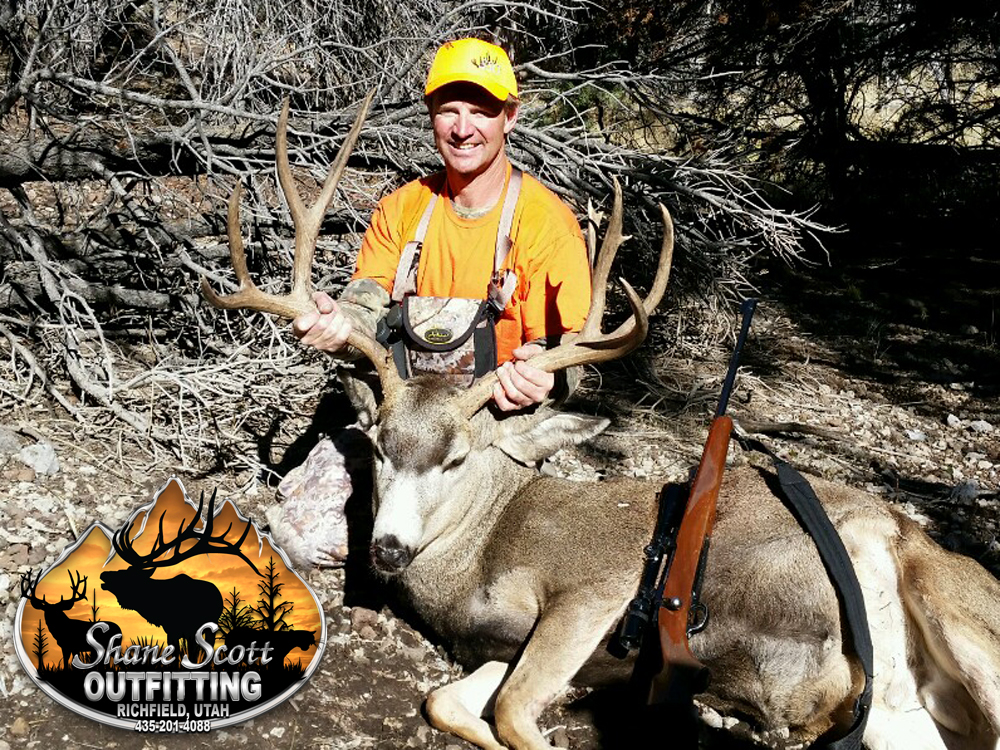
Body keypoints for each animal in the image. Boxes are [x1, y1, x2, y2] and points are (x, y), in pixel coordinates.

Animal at [100, 490, 260, 663]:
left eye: (128, 575)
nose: (103, 575)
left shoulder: (189, 630)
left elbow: (190, 655)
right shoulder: (171, 630)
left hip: (210, 625)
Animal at [201, 96, 1000, 750]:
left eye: (457, 458)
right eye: (376, 447)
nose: (389, 549)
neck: (479, 557)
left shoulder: (595, 588)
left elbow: (513, 709)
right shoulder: (498, 646)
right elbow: (449, 702)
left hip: (955, 610)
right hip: (901, 712)